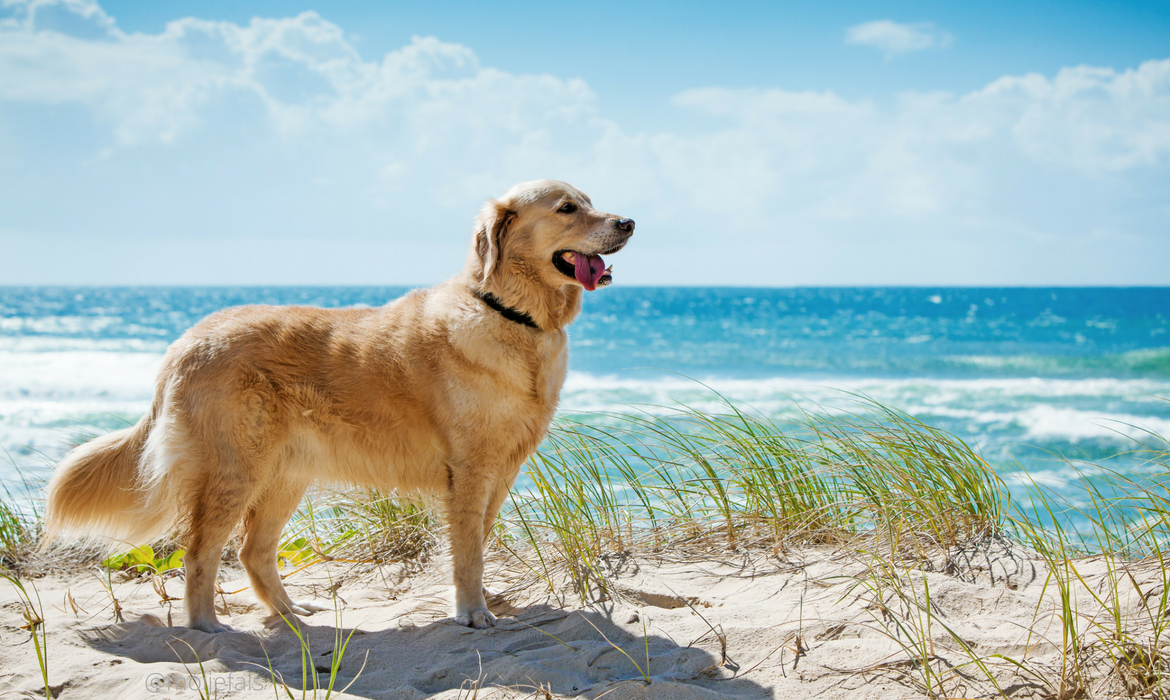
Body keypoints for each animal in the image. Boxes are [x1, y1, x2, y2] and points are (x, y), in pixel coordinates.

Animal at [43, 181, 631, 636]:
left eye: (590, 200)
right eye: (566, 208)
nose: (628, 222)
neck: (511, 314)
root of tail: (189, 339)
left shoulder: (500, 470)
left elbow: (477, 543)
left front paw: (477, 600)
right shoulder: (469, 470)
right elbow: (467, 549)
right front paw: (471, 612)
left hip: (284, 475)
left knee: (253, 552)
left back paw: (290, 614)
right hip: (235, 469)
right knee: (200, 552)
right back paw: (207, 625)